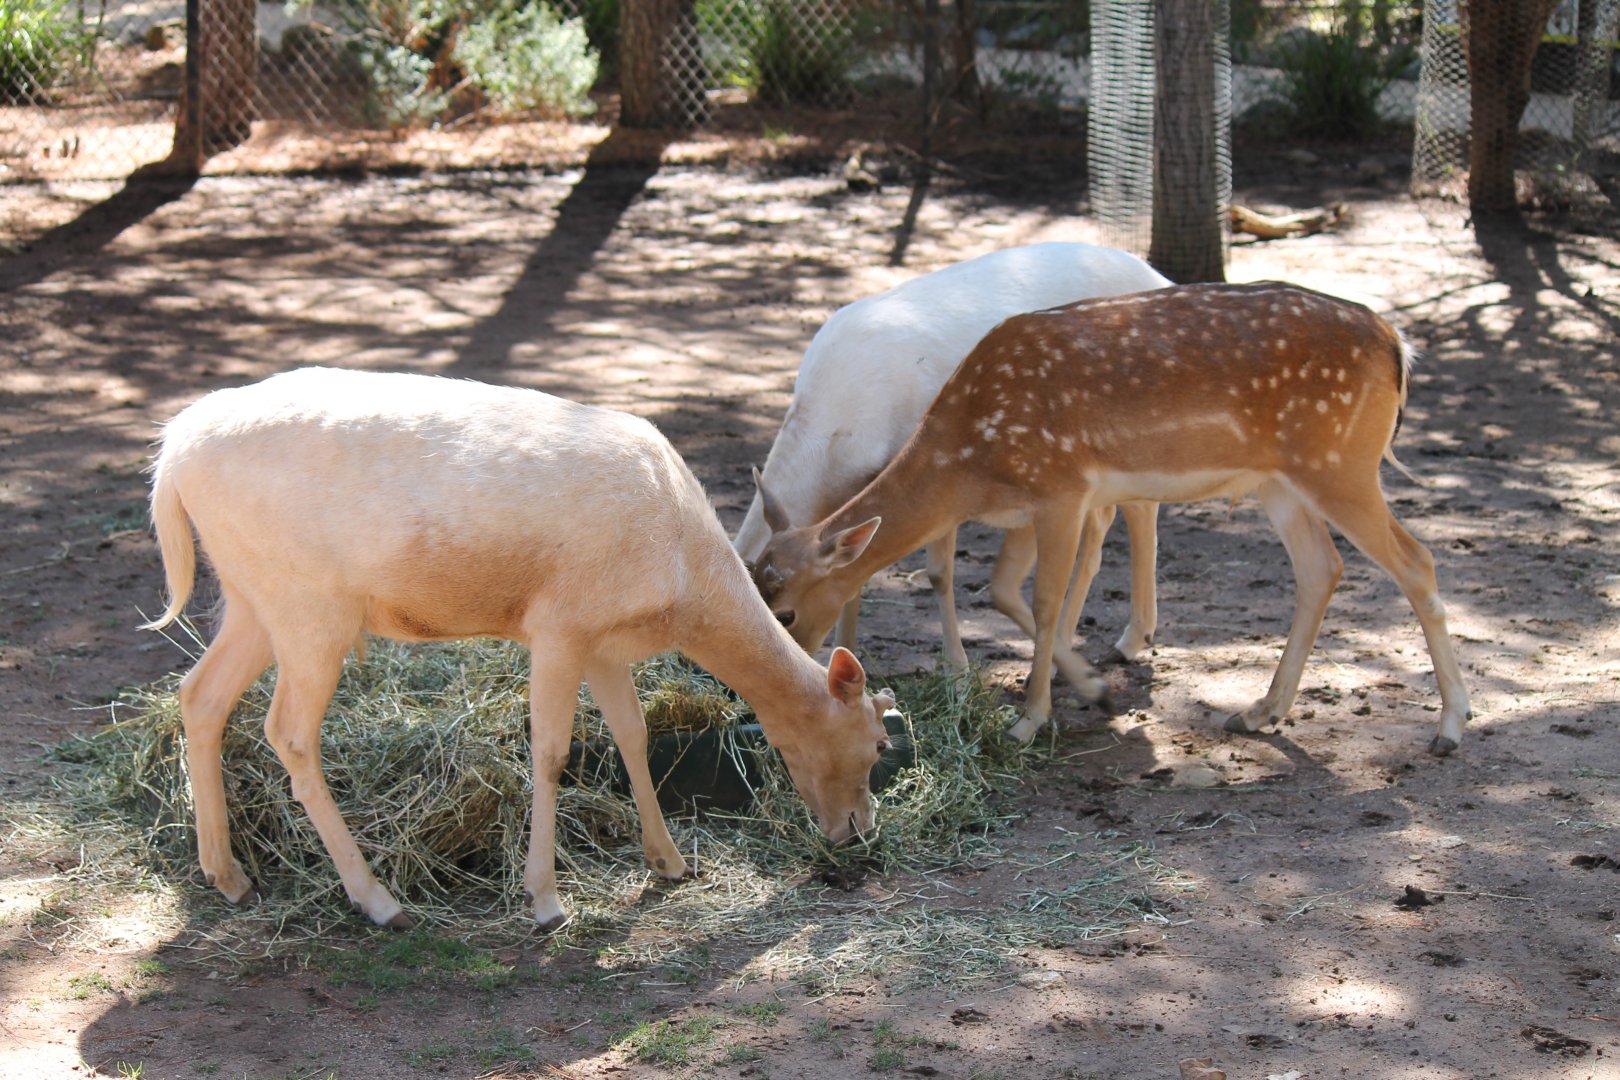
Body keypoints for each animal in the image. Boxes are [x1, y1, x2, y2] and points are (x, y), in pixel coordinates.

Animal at [144, 367, 896, 932]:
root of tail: (172, 453)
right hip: (308, 607)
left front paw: (670, 863)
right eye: (874, 745)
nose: (859, 828)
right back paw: (380, 901)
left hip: (251, 598)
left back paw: (229, 876)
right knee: (289, 732)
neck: (682, 579)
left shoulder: (605, 640)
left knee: (199, 693)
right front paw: (546, 901)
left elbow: (632, 732)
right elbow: (552, 750)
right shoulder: (559, 624)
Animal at [733, 242, 1173, 670]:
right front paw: (848, 654)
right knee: (1103, 516)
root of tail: (1159, 276)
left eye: (785, 615)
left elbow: (938, 572)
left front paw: (957, 669)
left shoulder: (935, 465)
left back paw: (1131, 639)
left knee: (1142, 508)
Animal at [750, 282, 1472, 755]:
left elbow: (1042, 599)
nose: (791, 674)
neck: (968, 461)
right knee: (1322, 568)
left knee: (1416, 560)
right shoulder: (1025, 508)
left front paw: (1029, 719)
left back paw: (1450, 726)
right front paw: (1094, 688)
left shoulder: (1061, 487)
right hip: (1281, 479)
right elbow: (1002, 590)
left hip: (1340, 461)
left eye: (786, 610)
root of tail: (1396, 344)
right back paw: (1260, 711)